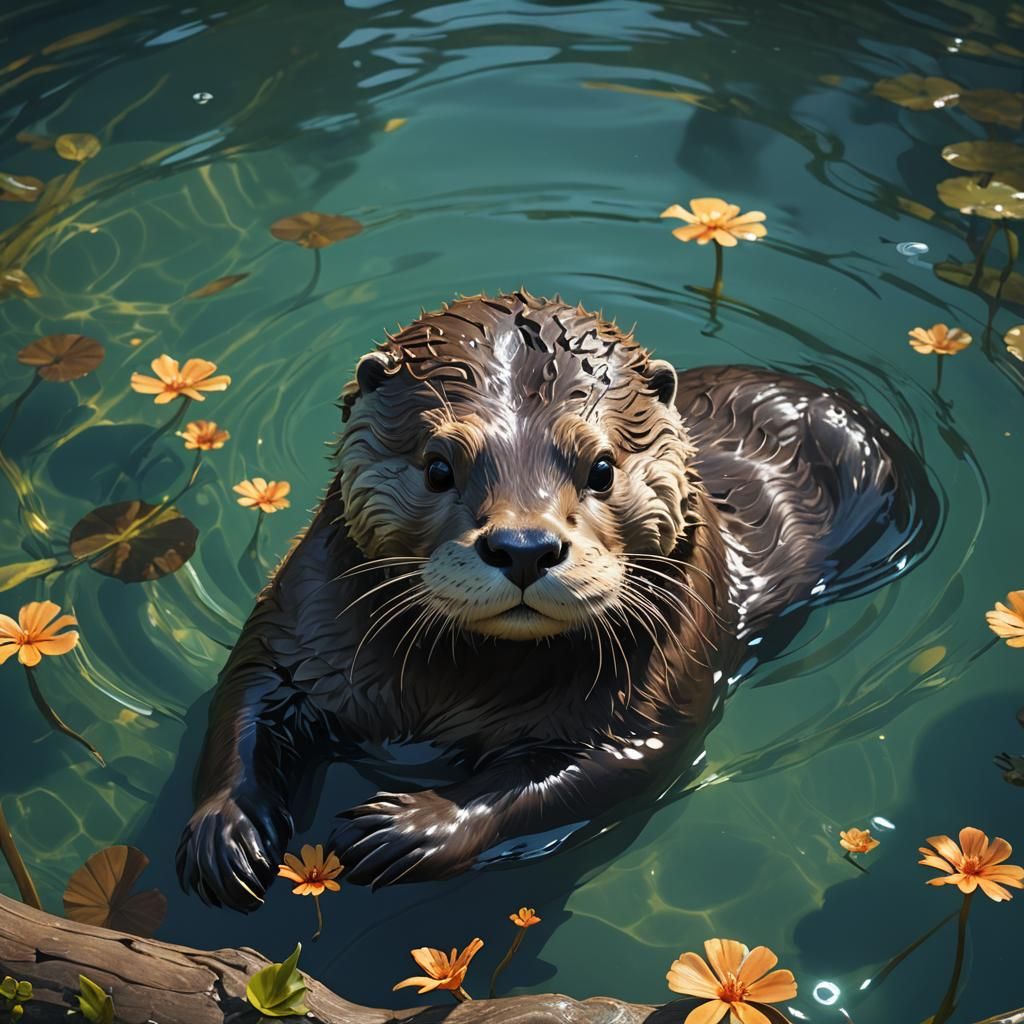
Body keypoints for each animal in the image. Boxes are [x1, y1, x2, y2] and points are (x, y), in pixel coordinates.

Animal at [177, 290, 934, 911]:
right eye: (439, 466)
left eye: (601, 467)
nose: (523, 547)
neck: (446, 692)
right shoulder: (298, 628)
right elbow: (243, 697)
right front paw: (227, 833)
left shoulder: (657, 692)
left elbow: (593, 771)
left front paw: (411, 827)